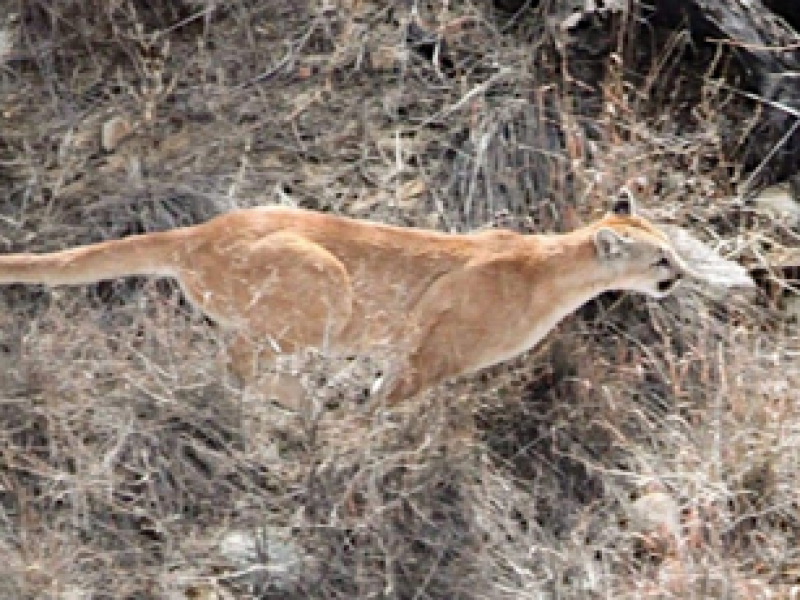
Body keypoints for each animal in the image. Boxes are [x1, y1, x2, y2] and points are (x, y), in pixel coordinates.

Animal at [0, 190, 700, 406]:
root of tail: (201, 230)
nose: (683, 273)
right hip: (325, 283)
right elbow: (392, 400)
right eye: (660, 256)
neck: (558, 273)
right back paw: (300, 404)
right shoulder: (431, 353)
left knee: (238, 359)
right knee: (235, 362)